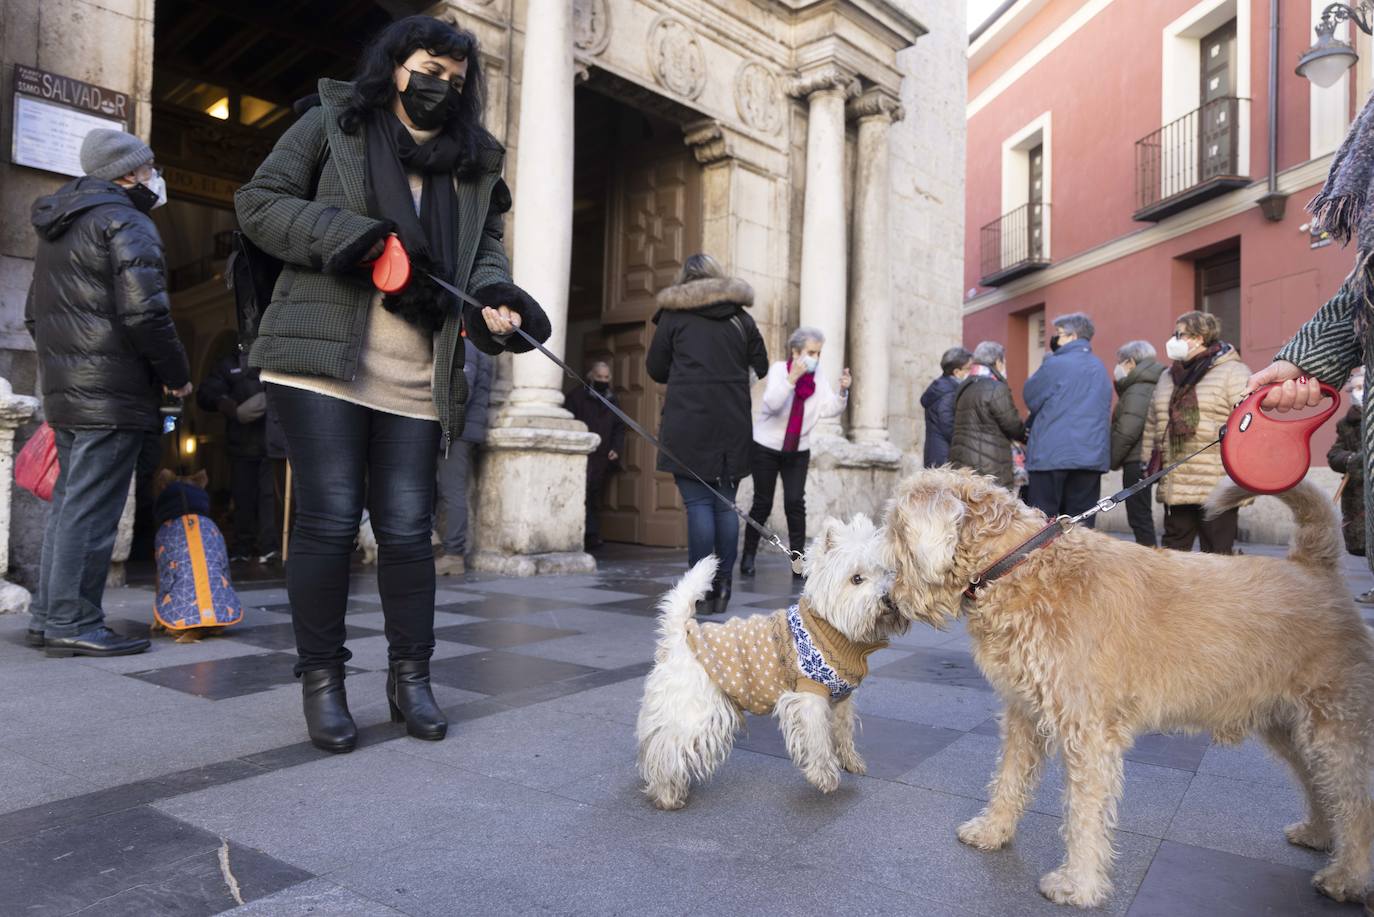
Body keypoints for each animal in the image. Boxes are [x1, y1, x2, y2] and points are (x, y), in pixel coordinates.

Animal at [632, 516, 901, 808]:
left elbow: (843, 730)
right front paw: (824, 775)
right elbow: (818, 737)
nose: (888, 599)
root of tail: (679, 635)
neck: (833, 630)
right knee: (667, 748)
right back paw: (666, 793)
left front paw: (851, 761)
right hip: (695, 710)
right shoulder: (809, 696)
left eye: (887, 572)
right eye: (856, 579)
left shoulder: (841, 698)